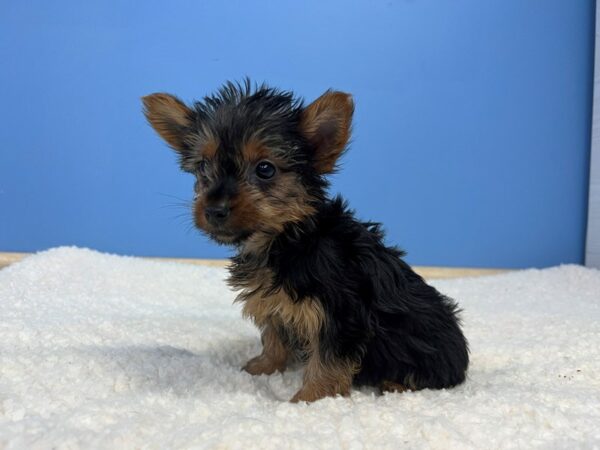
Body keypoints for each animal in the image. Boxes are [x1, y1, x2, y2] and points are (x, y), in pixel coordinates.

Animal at [142, 81, 468, 404]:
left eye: (265, 169)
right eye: (202, 167)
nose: (214, 210)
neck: (287, 238)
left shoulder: (340, 315)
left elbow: (328, 360)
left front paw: (310, 398)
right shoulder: (274, 303)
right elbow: (274, 335)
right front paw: (263, 366)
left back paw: (396, 385)